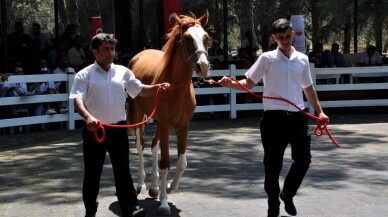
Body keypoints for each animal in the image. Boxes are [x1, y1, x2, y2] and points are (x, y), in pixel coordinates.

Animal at [127, 10, 209, 215]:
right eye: (187, 38)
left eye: (206, 37)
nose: (203, 66)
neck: (176, 88)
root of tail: (138, 56)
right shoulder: (165, 125)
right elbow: (165, 163)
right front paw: (164, 204)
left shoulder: (183, 126)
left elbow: (181, 163)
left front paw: (171, 187)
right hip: (140, 116)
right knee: (141, 146)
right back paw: (141, 184)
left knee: (154, 145)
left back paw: (154, 187)